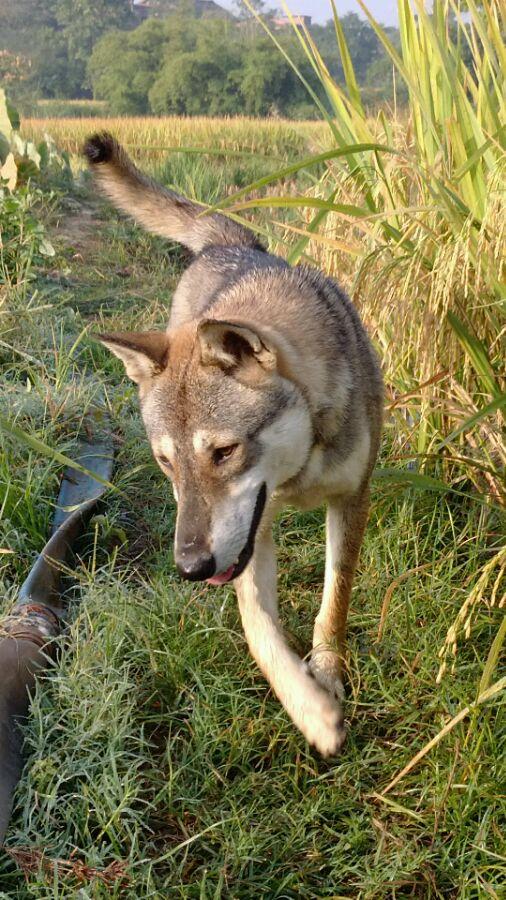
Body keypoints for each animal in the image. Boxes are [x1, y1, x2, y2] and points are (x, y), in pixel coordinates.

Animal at [85, 130, 382, 756]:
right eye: (166, 463)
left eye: (223, 453)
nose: (191, 568)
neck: (300, 475)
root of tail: (232, 244)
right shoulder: (252, 534)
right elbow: (259, 634)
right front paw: (312, 710)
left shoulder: (352, 498)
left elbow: (334, 601)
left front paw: (327, 671)